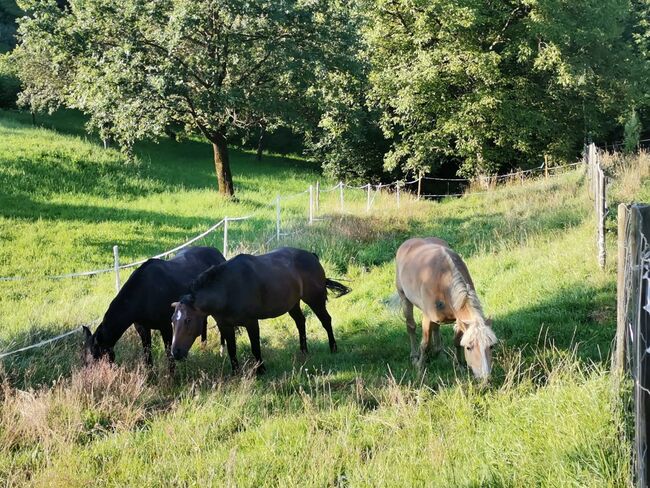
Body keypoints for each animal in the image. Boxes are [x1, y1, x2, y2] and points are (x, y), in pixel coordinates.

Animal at [82, 246, 224, 368]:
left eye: (95, 358)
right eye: (84, 360)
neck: (144, 293)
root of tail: (217, 253)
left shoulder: (166, 327)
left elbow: (169, 355)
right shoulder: (142, 328)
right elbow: (147, 356)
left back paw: (221, 353)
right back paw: (204, 350)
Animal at [168, 248, 350, 374]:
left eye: (188, 320)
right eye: (172, 320)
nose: (175, 352)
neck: (227, 289)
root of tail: (312, 256)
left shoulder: (251, 322)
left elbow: (255, 347)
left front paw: (261, 370)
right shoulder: (225, 326)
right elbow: (232, 350)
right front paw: (235, 372)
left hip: (315, 300)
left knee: (326, 320)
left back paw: (333, 348)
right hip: (293, 304)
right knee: (300, 322)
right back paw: (304, 351)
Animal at [392, 238, 494, 380]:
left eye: (491, 346)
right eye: (469, 347)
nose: (485, 378)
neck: (444, 280)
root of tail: (407, 242)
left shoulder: (459, 319)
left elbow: (456, 341)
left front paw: (460, 366)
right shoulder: (427, 317)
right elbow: (425, 344)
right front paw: (420, 368)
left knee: (436, 328)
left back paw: (440, 354)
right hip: (405, 299)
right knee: (411, 327)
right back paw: (414, 356)